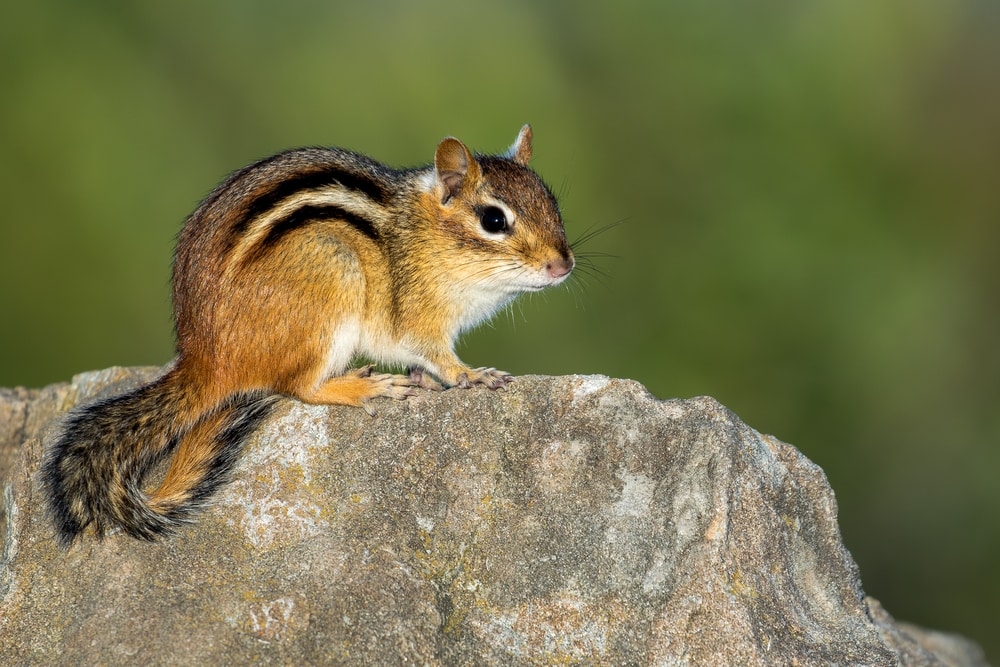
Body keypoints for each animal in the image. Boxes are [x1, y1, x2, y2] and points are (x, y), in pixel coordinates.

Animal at [42, 125, 574, 545]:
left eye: (554, 204)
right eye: (494, 220)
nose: (564, 265)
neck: (427, 235)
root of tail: (205, 358)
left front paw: (429, 378)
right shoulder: (417, 317)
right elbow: (438, 356)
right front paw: (472, 375)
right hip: (332, 282)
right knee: (299, 387)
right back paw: (363, 386)